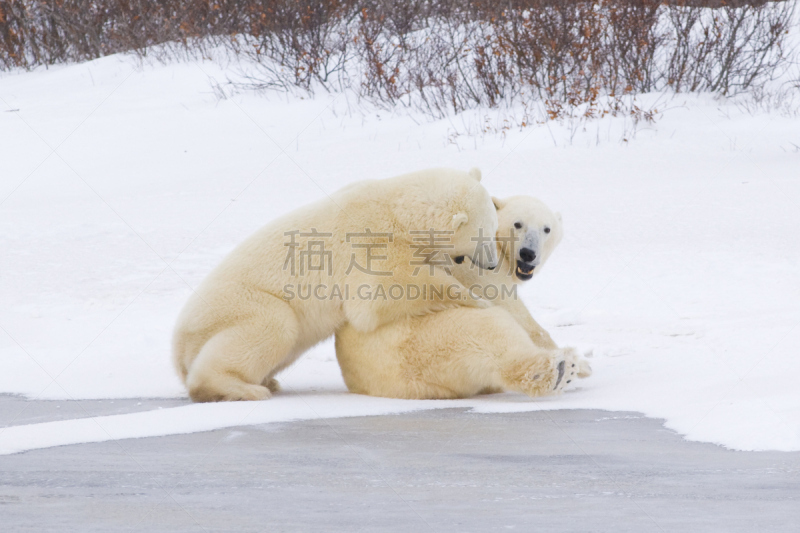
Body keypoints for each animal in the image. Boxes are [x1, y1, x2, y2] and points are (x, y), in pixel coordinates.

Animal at [174, 166, 500, 400]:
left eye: (493, 230)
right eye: (483, 236)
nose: (494, 264)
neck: (397, 208)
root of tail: (177, 347)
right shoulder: (370, 245)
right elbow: (377, 296)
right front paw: (474, 298)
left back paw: (268, 380)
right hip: (236, 306)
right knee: (274, 326)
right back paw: (245, 389)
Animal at [334, 195, 592, 400]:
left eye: (547, 229)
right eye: (518, 224)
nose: (528, 253)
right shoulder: (478, 270)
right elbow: (518, 315)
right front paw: (584, 366)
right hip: (429, 333)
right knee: (491, 332)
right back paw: (560, 369)